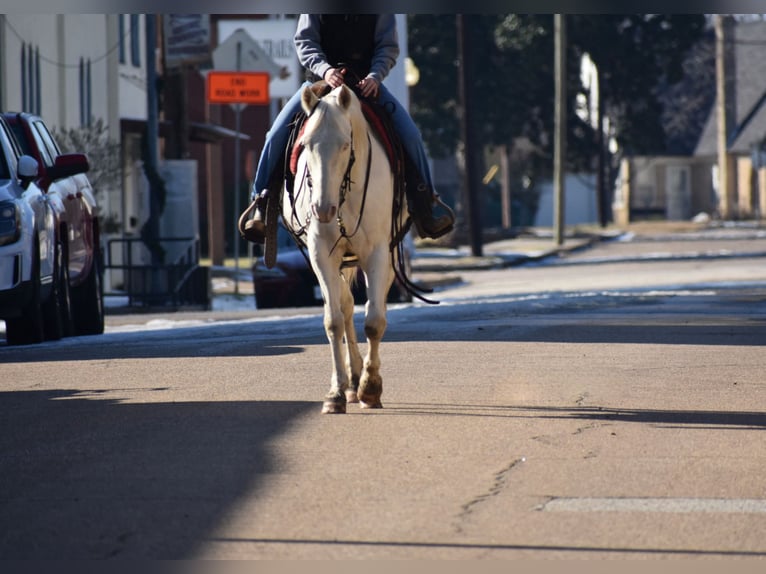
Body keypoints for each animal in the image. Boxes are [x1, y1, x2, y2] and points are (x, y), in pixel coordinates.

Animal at [281, 83, 409, 414]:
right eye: (306, 144)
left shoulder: (378, 254)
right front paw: (337, 392)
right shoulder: (321, 254)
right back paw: (351, 381)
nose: (322, 209)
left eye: (344, 144)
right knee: (346, 305)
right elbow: (334, 321)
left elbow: (375, 321)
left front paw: (370, 388)